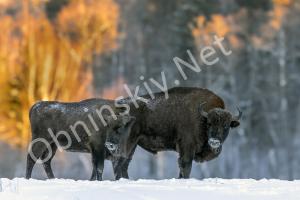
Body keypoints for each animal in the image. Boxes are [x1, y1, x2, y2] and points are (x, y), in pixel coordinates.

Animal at [105, 87, 241, 178]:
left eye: (226, 125)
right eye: (209, 123)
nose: (214, 141)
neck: (202, 117)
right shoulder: (187, 149)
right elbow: (185, 168)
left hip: (133, 145)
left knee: (124, 164)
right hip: (127, 143)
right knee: (119, 163)